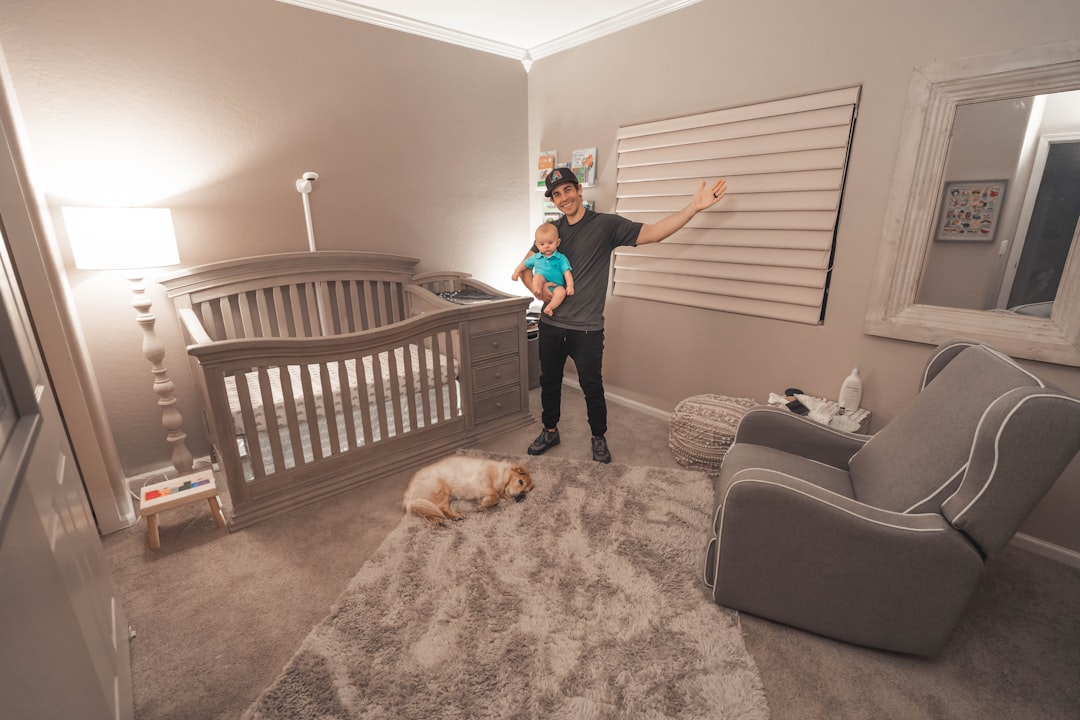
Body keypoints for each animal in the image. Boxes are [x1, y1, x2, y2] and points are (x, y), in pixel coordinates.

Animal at [403, 459, 533, 526]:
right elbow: (494, 496)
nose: (522, 496)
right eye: (520, 482)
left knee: (429, 513)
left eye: (526, 491)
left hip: (426, 503)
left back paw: (437, 520)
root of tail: (408, 496)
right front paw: (483, 504)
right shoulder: (485, 480)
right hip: (442, 491)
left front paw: (484, 505)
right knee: (442, 509)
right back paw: (456, 516)